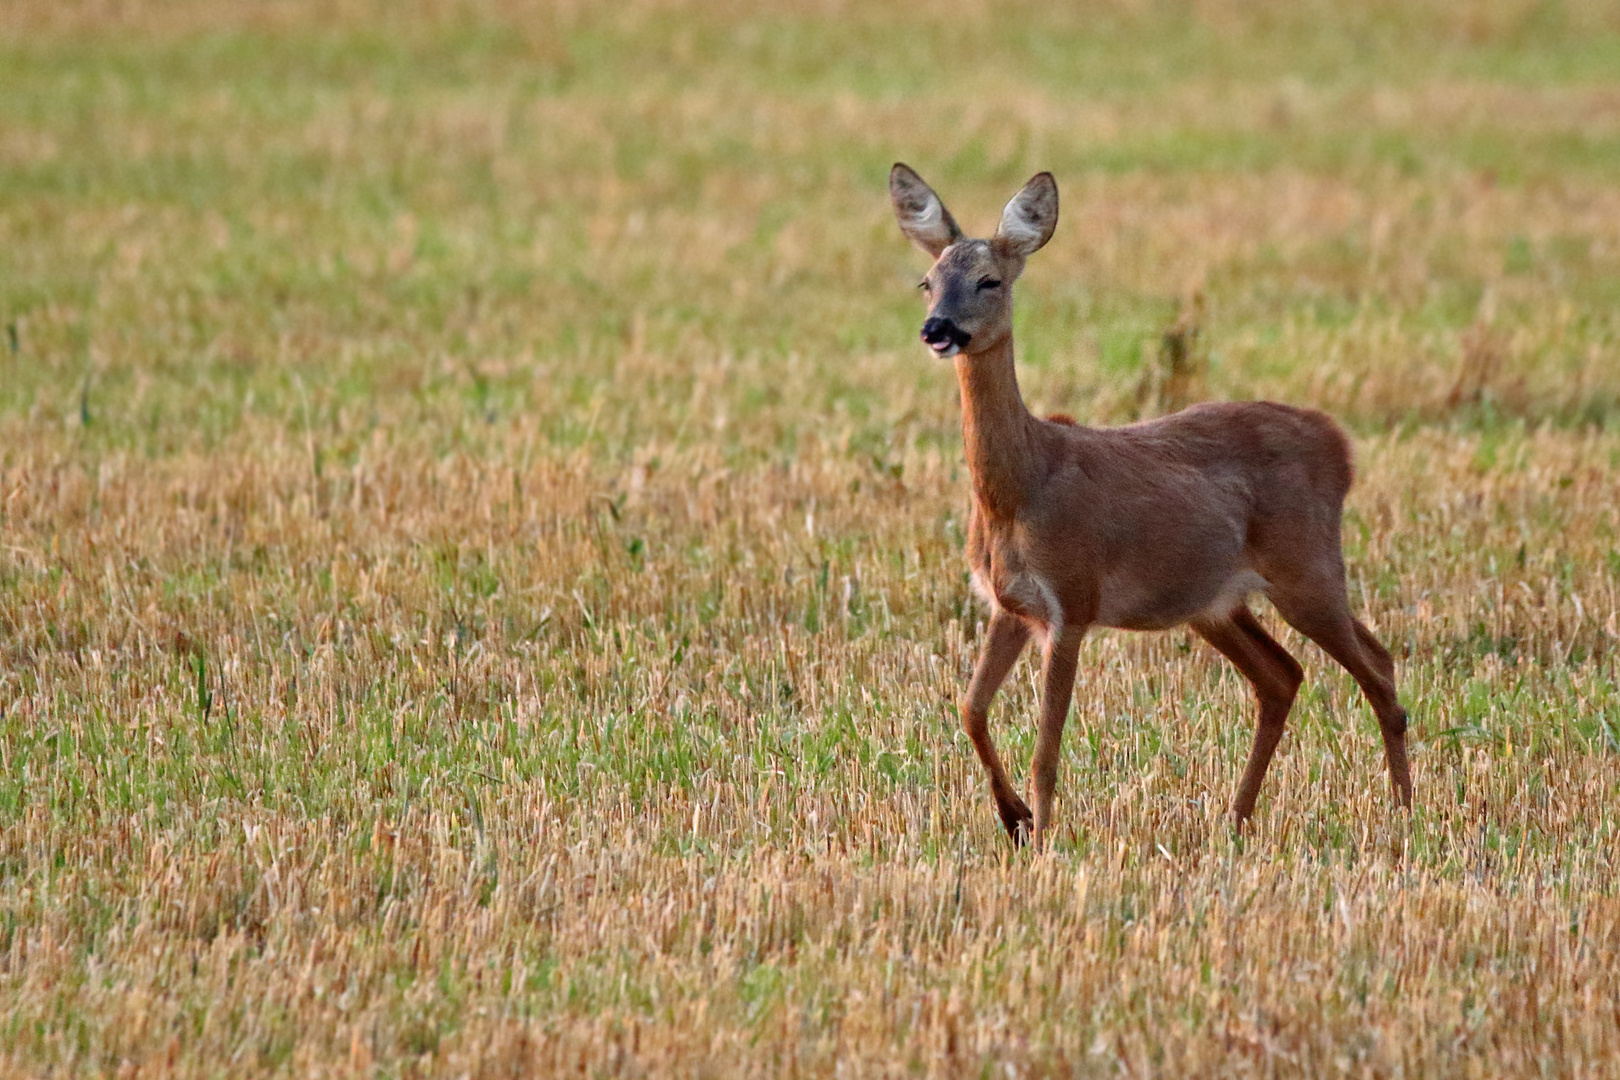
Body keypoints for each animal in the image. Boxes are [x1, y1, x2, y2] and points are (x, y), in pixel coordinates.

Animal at [894, 165, 1412, 848]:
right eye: (928, 282)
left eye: (990, 280)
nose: (937, 330)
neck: (1023, 485)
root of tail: (1339, 445)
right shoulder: (1010, 603)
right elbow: (971, 708)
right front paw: (1015, 819)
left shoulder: (1073, 598)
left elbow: (1046, 748)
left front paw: (1044, 837)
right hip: (1213, 602)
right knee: (1282, 676)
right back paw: (1235, 819)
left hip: (1307, 567)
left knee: (1377, 667)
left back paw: (1405, 814)